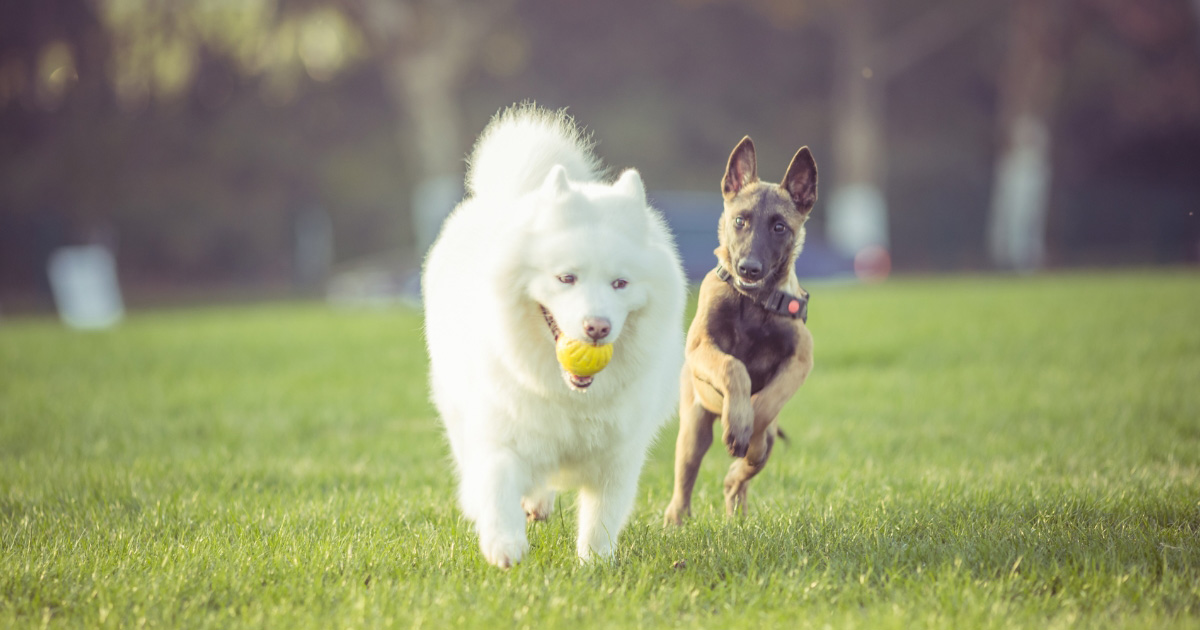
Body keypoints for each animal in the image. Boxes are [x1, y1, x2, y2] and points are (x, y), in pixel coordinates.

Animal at [422, 103, 686, 564]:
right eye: (567, 278)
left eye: (620, 284)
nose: (597, 327)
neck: (570, 397)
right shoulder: (500, 433)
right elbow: (497, 485)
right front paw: (504, 544)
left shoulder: (617, 459)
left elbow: (600, 521)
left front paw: (593, 566)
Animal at [662, 137, 820, 525]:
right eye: (740, 221)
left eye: (779, 227)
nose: (749, 269)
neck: (753, 303)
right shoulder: (702, 347)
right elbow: (734, 367)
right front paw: (739, 422)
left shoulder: (801, 359)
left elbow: (766, 403)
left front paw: (746, 430)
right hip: (693, 428)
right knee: (684, 479)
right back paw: (675, 521)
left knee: (742, 476)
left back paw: (737, 497)